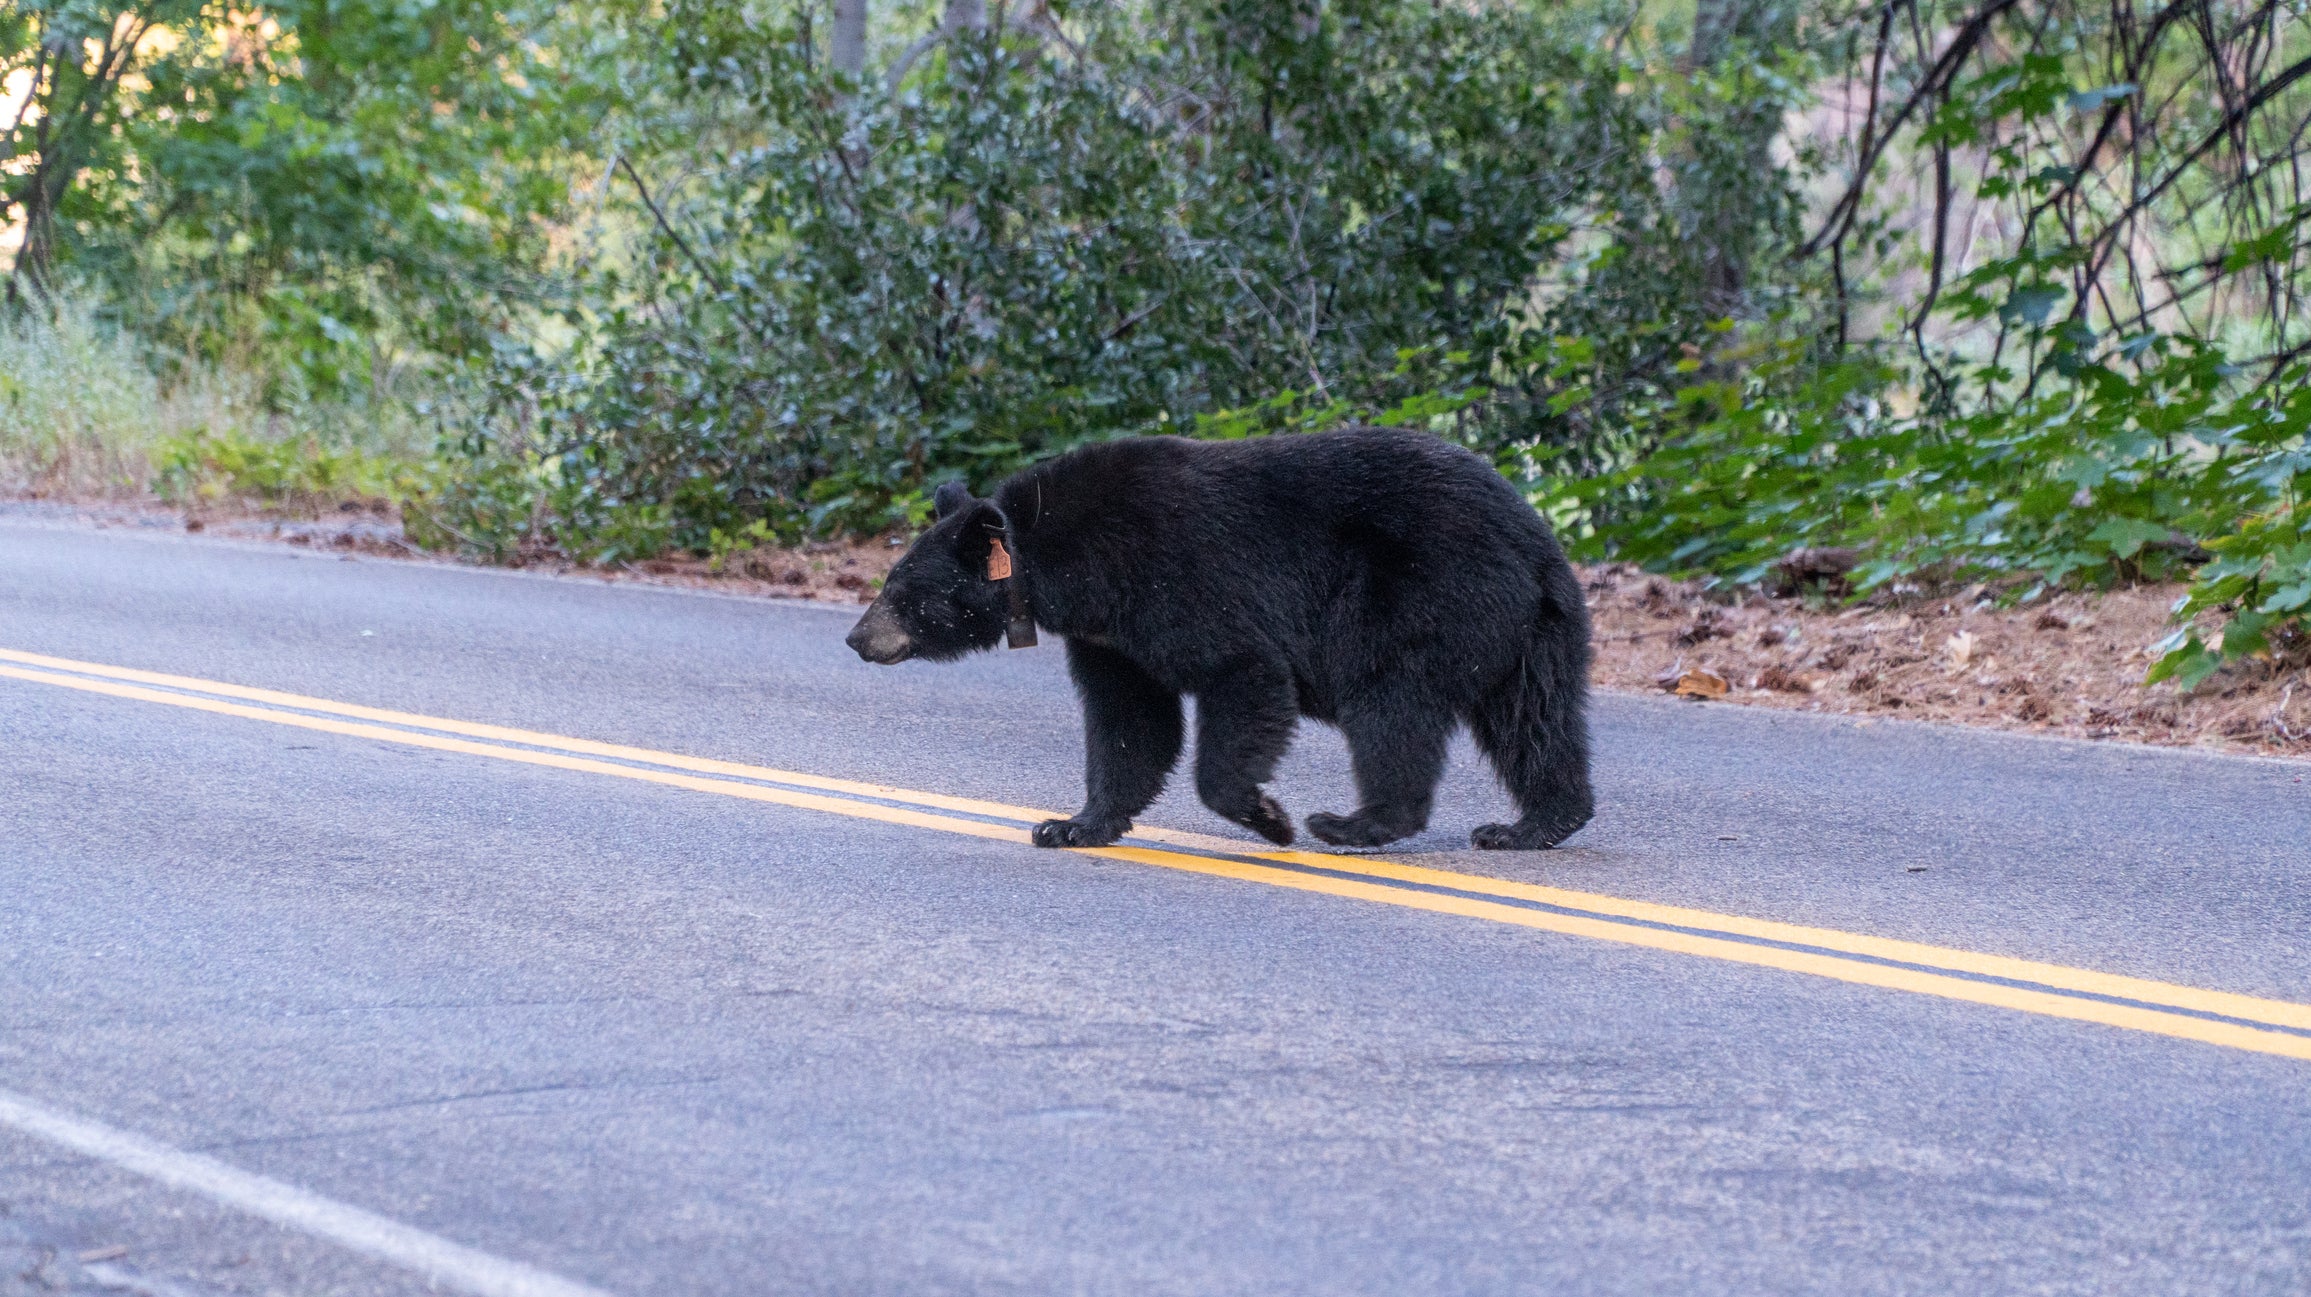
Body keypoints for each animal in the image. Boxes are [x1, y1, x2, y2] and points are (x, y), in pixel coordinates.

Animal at [845, 425, 1593, 851]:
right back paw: (1532, 824)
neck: (1068, 562)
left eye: (905, 591)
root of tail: (1534, 539)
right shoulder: (1111, 637)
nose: (856, 637)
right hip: (1530, 631)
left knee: (1391, 702)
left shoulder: (1179, 579)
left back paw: (1351, 823)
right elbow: (1128, 722)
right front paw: (1069, 823)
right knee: (1533, 720)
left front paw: (1267, 815)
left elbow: (1243, 673)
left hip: (1419, 593)